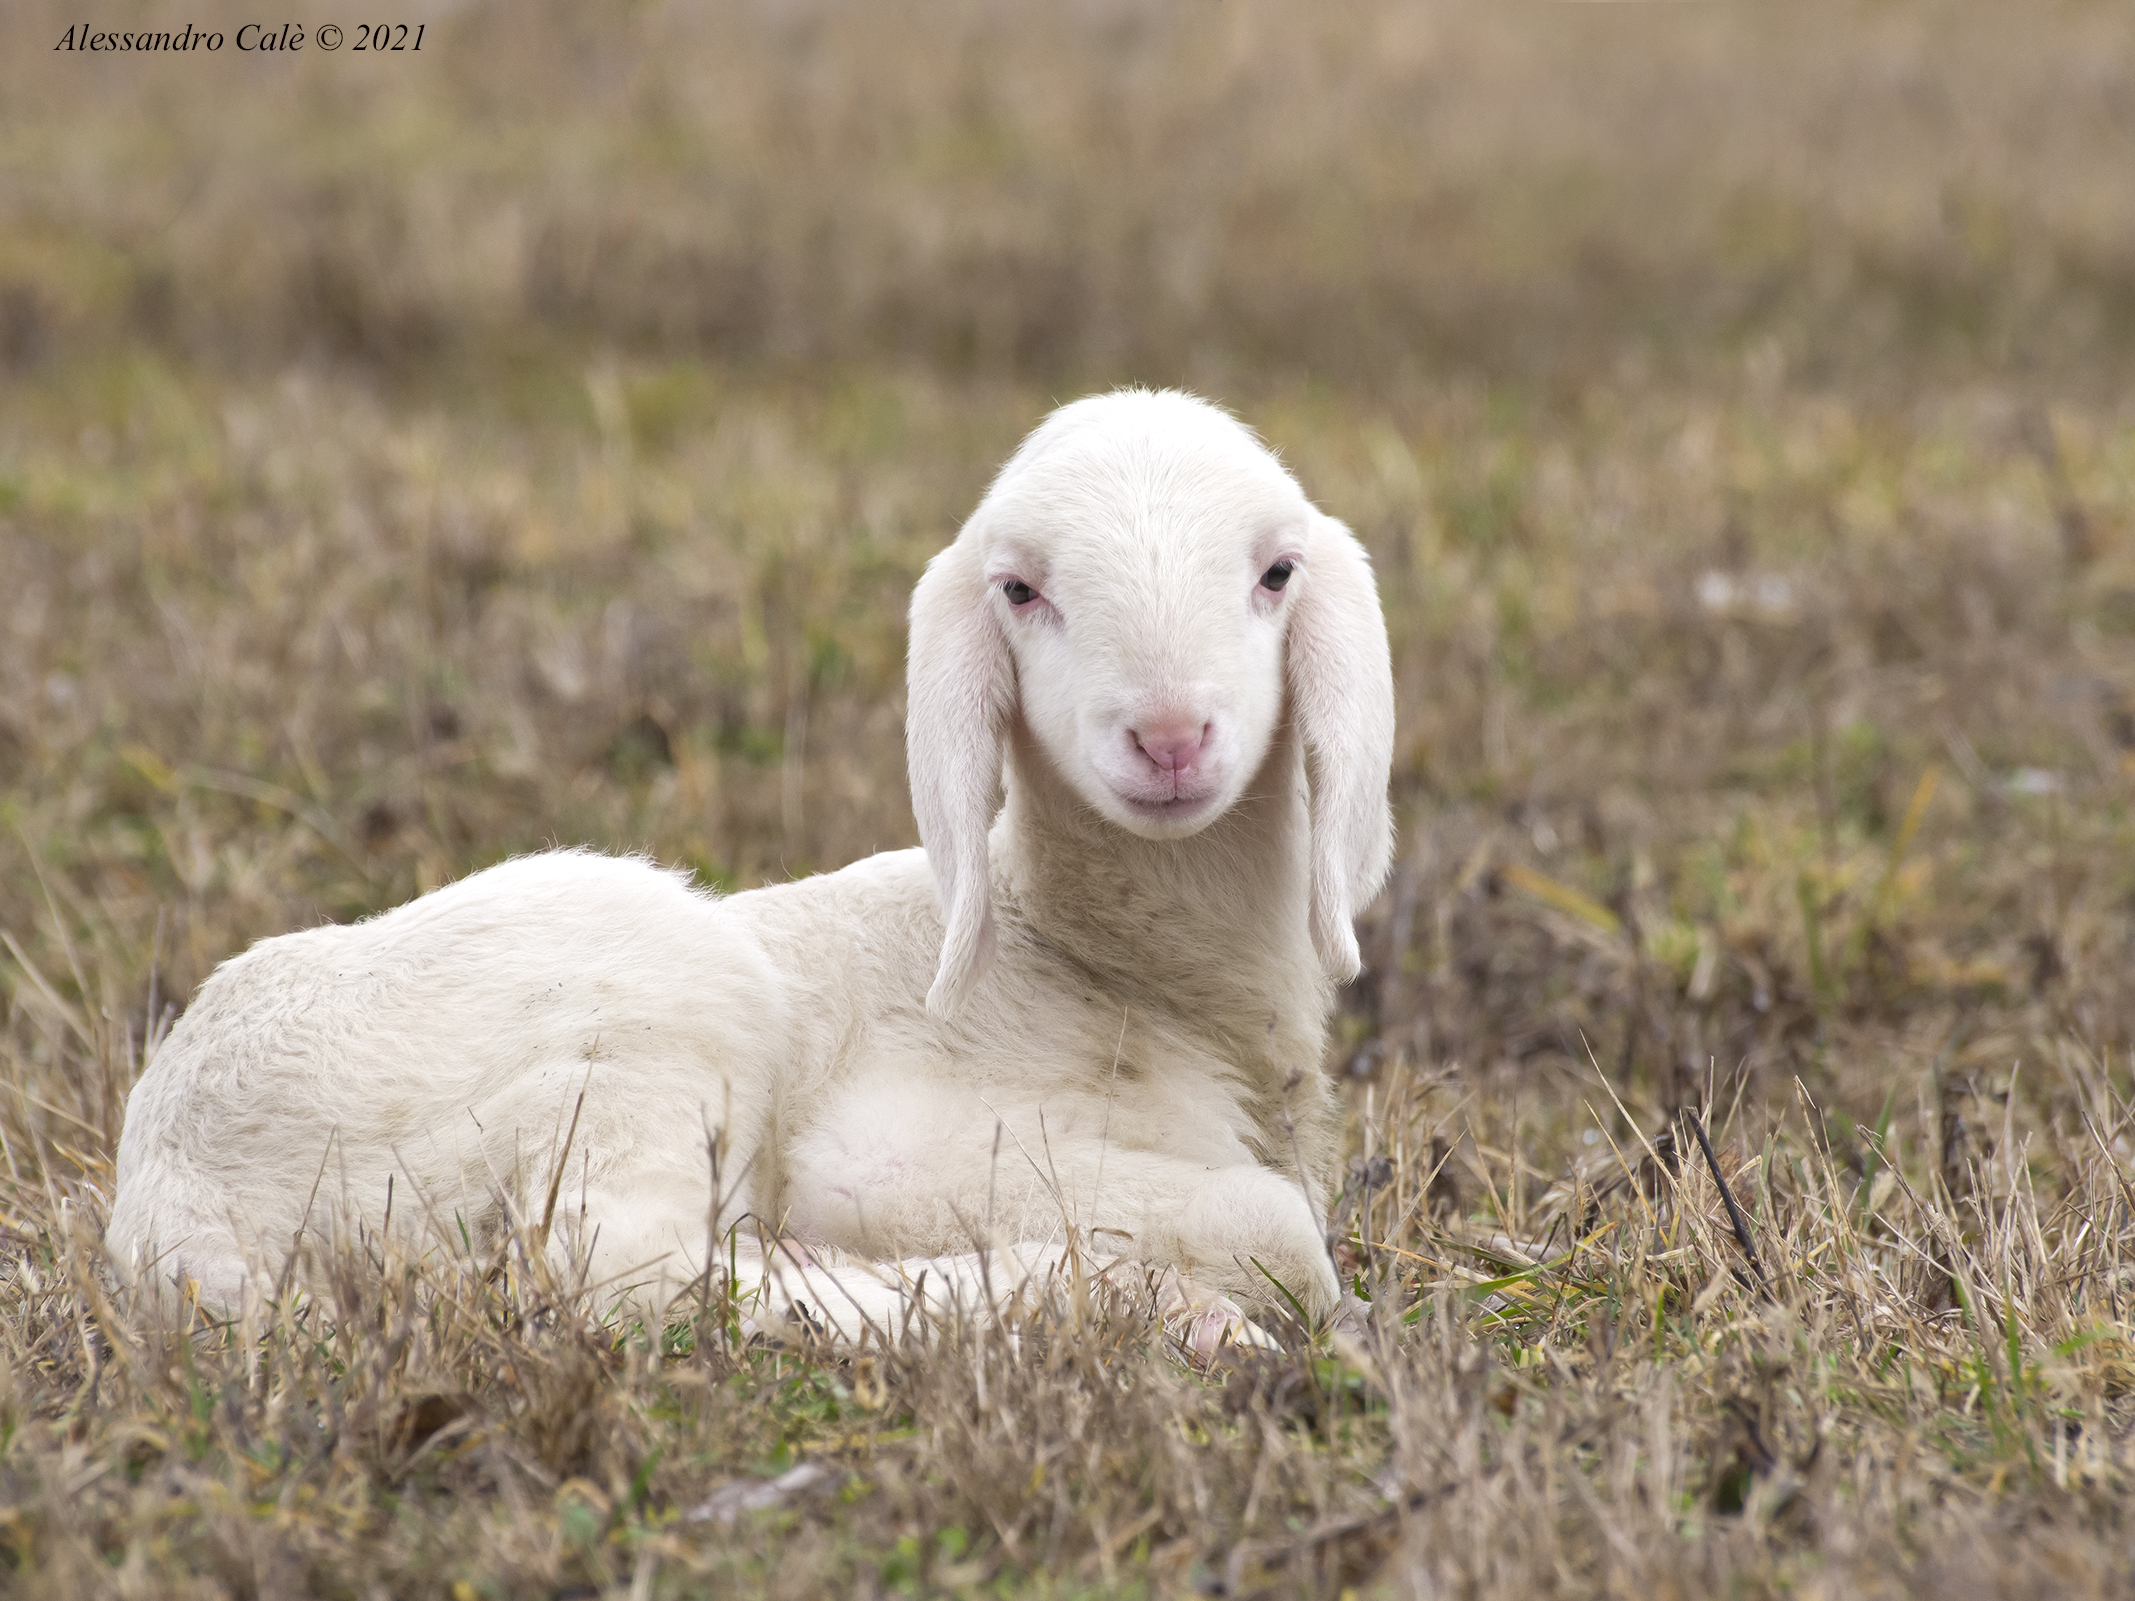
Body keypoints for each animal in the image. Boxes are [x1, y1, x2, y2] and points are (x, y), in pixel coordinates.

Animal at [106, 388, 1396, 1349]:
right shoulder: (885, 1154)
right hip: (652, 999)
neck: (1111, 963)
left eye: (1277, 572)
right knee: (624, 1282)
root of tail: (174, 1232)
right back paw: (1133, 1303)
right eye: (1019, 589)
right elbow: (1288, 1233)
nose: (1170, 737)